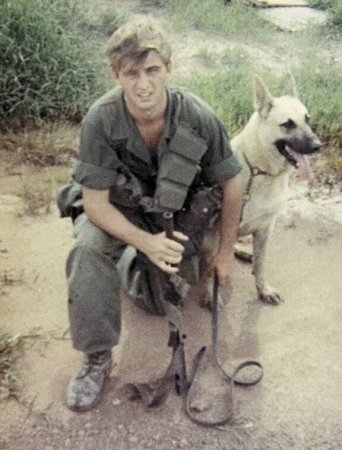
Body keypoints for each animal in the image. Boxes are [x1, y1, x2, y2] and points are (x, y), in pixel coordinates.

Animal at [203, 74, 324, 306]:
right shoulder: (215, 231)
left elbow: (260, 264)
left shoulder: (265, 228)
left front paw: (263, 289)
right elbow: (210, 266)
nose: (318, 146)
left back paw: (242, 252)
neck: (258, 171)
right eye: (288, 124)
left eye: (308, 119)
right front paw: (210, 293)